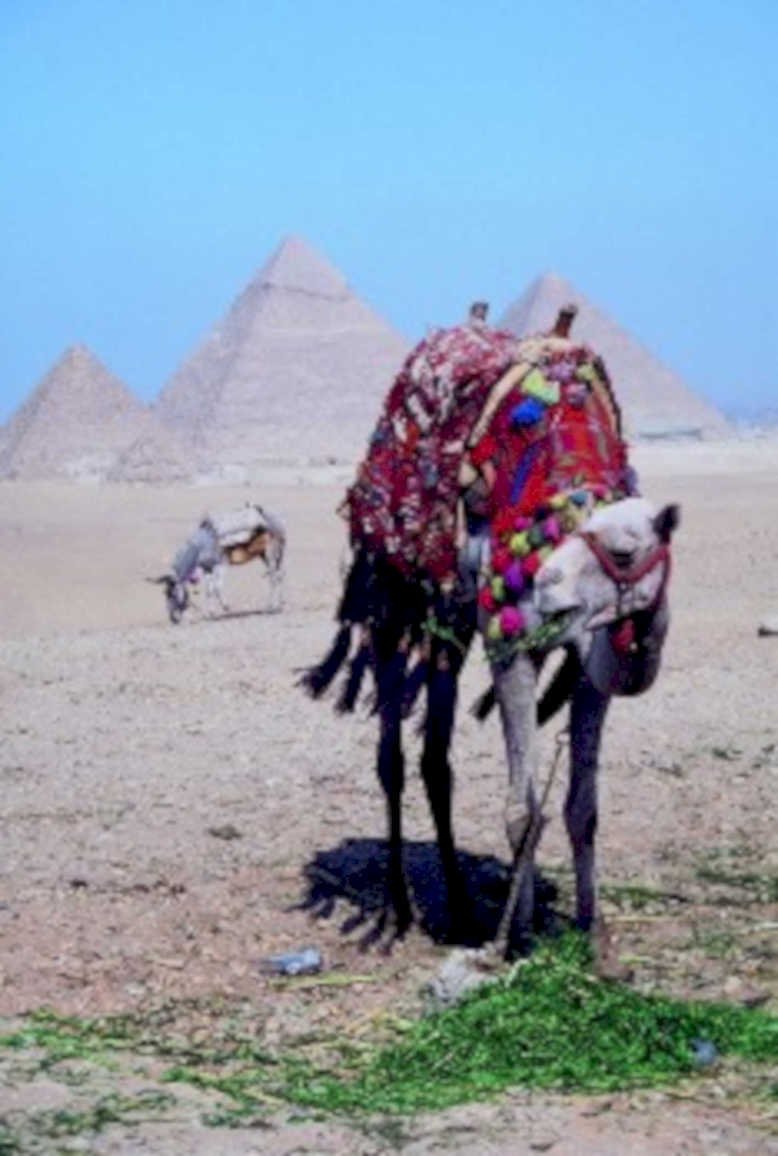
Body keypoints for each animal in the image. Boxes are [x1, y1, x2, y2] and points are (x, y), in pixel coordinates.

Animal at [303, 312, 679, 954]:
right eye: (588, 545)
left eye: (625, 552)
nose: (547, 590)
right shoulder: (512, 648)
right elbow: (523, 808)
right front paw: (519, 939)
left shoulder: (592, 665)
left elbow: (583, 807)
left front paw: (594, 934)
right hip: (393, 599)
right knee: (393, 753)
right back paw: (400, 912)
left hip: (451, 622)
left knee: (435, 757)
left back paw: (460, 910)